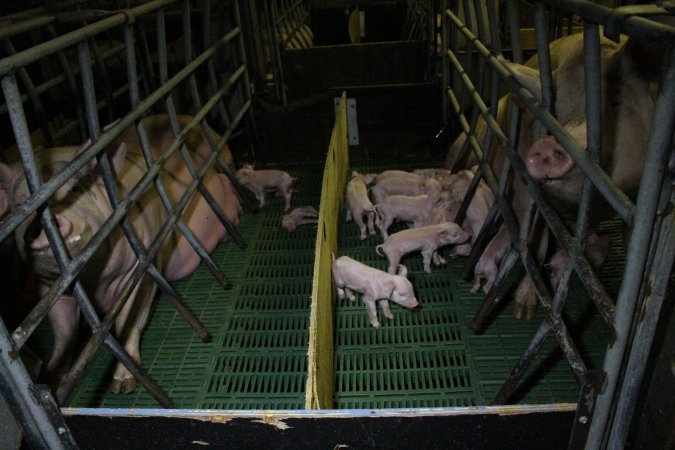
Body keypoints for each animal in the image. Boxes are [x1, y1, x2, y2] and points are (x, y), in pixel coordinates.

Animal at [0, 114, 242, 392]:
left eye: (76, 189)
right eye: (19, 205)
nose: (38, 227)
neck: (93, 281)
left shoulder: (141, 264)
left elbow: (128, 319)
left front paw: (122, 386)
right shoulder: (49, 290)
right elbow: (63, 335)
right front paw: (52, 383)